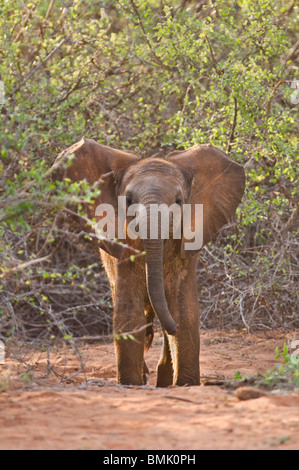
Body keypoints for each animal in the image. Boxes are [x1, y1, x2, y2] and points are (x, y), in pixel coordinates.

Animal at [53, 136, 246, 386]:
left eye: (179, 201)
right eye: (128, 200)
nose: (171, 327)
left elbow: (184, 309)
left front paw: (185, 384)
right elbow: (129, 312)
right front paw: (131, 383)